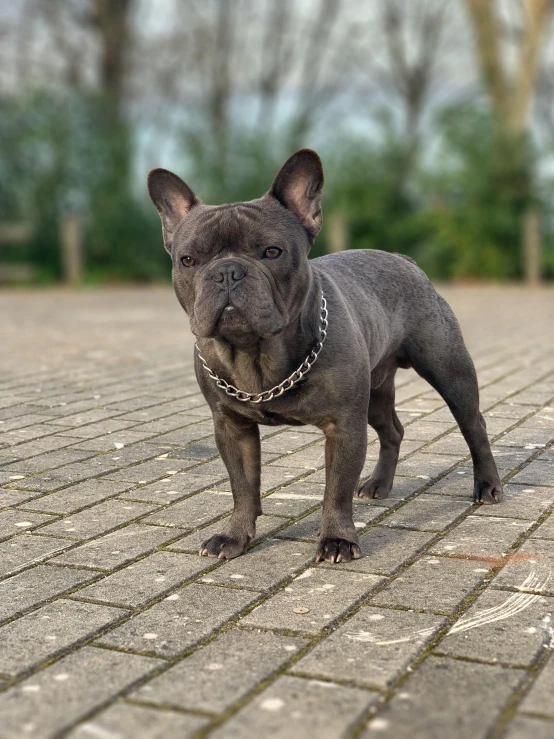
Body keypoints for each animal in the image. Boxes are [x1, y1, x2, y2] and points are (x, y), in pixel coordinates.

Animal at [147, 150, 500, 568]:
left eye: (271, 252)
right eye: (188, 260)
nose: (227, 272)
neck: (256, 354)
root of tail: (405, 260)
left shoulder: (344, 425)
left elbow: (336, 488)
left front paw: (337, 539)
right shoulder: (232, 427)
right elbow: (243, 486)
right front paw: (235, 536)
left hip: (449, 371)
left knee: (474, 425)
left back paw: (488, 486)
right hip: (375, 391)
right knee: (392, 430)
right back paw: (379, 484)